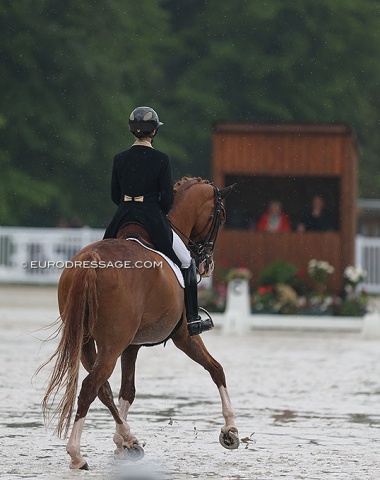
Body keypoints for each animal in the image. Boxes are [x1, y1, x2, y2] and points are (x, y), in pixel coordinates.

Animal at [40, 176, 239, 468]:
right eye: (221, 216)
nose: (207, 264)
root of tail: (90, 260)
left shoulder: (131, 346)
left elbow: (127, 391)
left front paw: (121, 442)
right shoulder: (183, 336)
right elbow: (216, 369)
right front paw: (230, 430)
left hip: (89, 342)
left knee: (102, 388)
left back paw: (128, 438)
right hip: (112, 343)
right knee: (90, 386)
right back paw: (77, 454)